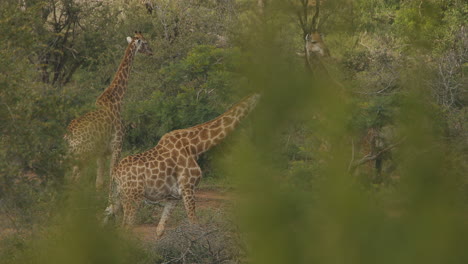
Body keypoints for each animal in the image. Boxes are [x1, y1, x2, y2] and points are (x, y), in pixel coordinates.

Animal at [63, 31, 152, 188]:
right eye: (145, 42)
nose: (151, 51)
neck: (116, 100)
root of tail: (69, 138)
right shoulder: (117, 146)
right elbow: (111, 177)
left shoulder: (102, 153)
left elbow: (99, 182)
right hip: (82, 155)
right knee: (74, 181)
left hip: (73, 156)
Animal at [103, 94, 262, 238]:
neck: (195, 147)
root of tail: (116, 173)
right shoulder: (188, 188)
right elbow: (194, 225)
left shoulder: (174, 197)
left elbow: (160, 230)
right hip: (133, 198)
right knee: (125, 228)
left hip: (118, 197)